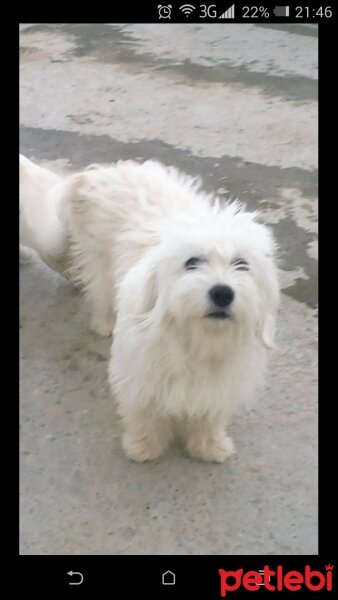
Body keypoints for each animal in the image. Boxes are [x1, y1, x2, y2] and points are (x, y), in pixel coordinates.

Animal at [66, 161, 280, 464]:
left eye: (241, 263)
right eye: (192, 262)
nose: (222, 293)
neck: (195, 338)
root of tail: (106, 170)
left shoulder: (218, 384)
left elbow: (209, 414)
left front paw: (209, 444)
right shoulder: (140, 372)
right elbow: (145, 410)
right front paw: (144, 445)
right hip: (98, 259)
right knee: (100, 290)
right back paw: (104, 322)